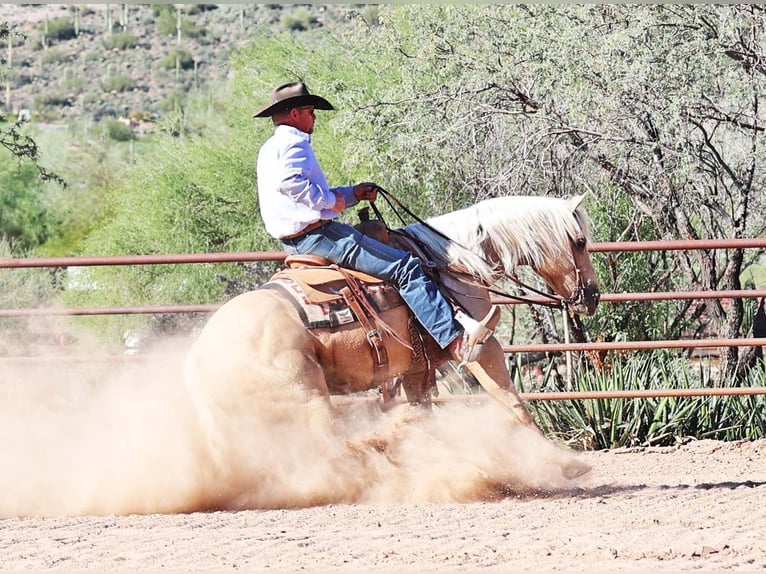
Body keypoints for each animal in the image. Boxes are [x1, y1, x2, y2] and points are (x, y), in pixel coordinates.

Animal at [183, 194, 600, 488]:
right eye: (580, 241)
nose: (592, 297)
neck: (449, 262)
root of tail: (200, 354)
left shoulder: (417, 370)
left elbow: (425, 415)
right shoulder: (484, 349)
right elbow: (513, 402)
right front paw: (565, 464)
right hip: (308, 399)